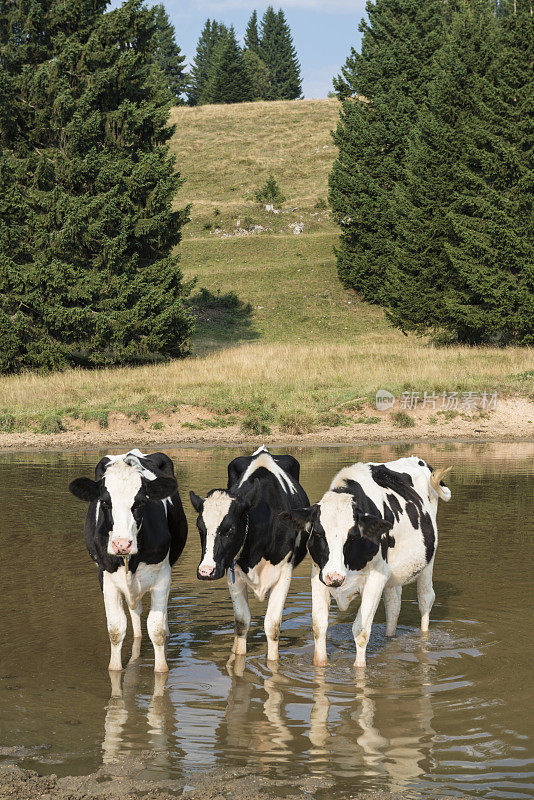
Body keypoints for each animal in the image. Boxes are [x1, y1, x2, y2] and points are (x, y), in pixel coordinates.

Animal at [68, 450, 188, 668]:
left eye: (140, 503)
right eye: (105, 502)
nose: (122, 544)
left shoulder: (162, 576)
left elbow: (157, 630)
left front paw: (161, 670)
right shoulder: (106, 578)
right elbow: (116, 630)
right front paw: (115, 670)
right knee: (135, 611)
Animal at [192, 444, 310, 664]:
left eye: (229, 529)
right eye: (200, 528)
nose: (206, 571)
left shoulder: (285, 571)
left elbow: (272, 625)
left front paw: (272, 665)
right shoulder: (232, 569)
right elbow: (241, 622)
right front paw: (237, 658)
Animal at [284, 456, 452, 668]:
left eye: (353, 535)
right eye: (319, 533)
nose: (335, 577)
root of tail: (417, 460)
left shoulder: (375, 578)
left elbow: (361, 630)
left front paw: (359, 670)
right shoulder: (319, 576)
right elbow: (319, 626)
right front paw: (320, 666)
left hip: (427, 561)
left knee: (425, 599)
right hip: (392, 574)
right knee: (393, 605)